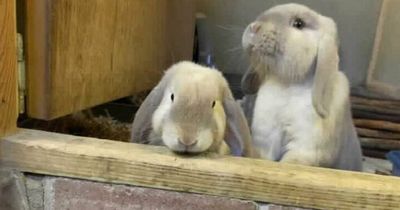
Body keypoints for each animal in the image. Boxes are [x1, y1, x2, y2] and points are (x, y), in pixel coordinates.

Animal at [239, 3, 364, 171]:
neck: (288, 85)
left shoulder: (306, 148)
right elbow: (262, 157)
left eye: (299, 24)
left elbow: (292, 162)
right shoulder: (266, 139)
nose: (254, 27)